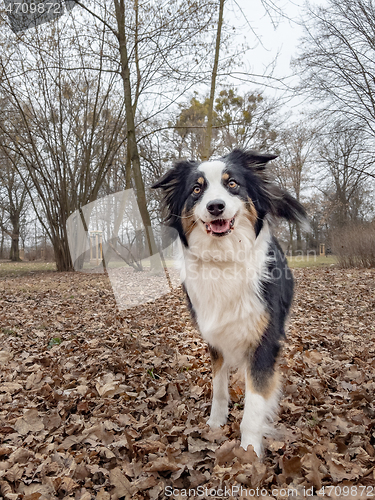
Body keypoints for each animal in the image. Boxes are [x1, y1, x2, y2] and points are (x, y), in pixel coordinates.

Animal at [153, 148, 308, 458]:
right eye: (197, 189)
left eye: (232, 184)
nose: (216, 206)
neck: (223, 260)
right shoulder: (214, 338)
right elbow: (219, 387)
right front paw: (216, 422)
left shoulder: (264, 341)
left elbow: (255, 404)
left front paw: (249, 450)